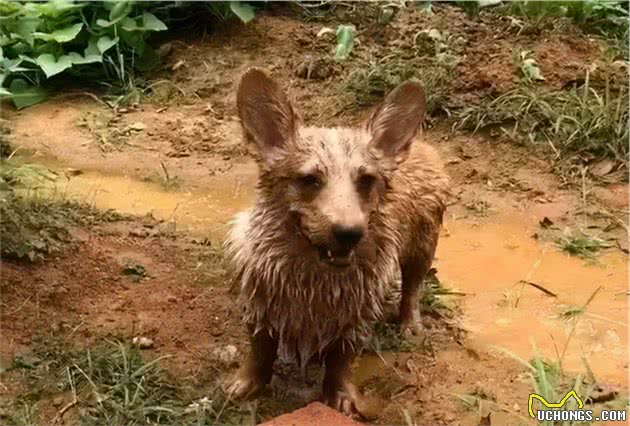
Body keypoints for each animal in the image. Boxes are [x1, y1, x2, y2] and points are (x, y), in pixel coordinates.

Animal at [225, 68, 452, 418]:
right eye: (308, 179)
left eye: (367, 180)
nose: (349, 233)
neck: (313, 275)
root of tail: (422, 145)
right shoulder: (259, 300)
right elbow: (260, 350)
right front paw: (247, 384)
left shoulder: (356, 313)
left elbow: (341, 359)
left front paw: (340, 396)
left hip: (423, 244)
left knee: (413, 286)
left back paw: (410, 323)